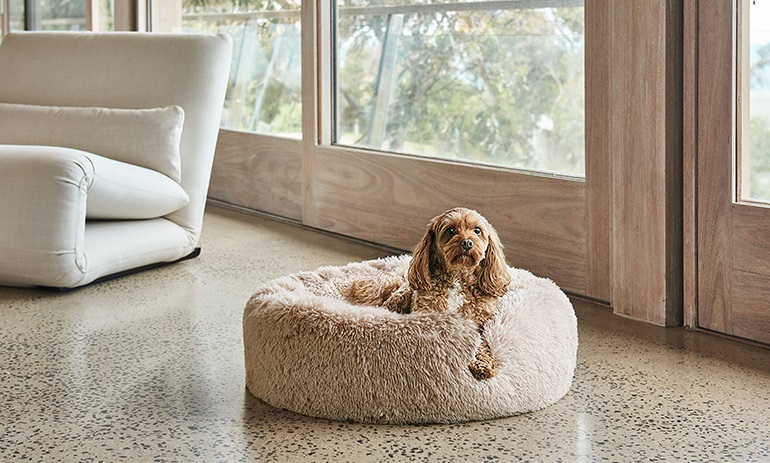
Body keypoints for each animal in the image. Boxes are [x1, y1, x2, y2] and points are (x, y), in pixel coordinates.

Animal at [342, 209, 510, 380]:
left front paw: (482, 364)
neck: (458, 277)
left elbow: (481, 344)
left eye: (477, 230)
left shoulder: (477, 324)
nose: (467, 243)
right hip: (400, 298)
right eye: (450, 230)